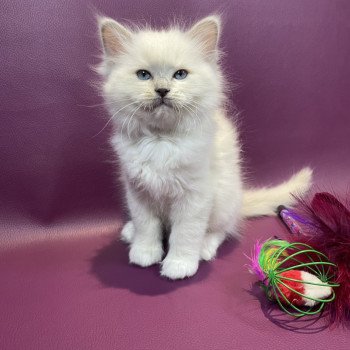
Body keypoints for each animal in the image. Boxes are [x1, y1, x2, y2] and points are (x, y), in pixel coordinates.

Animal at [97, 15, 314, 278]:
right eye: (143, 75)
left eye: (180, 74)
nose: (162, 90)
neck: (161, 140)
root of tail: (240, 199)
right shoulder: (138, 191)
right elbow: (146, 226)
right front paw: (144, 253)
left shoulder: (195, 196)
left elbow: (185, 234)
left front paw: (179, 265)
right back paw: (130, 232)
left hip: (222, 199)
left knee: (221, 230)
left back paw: (204, 248)